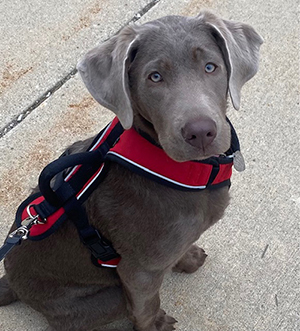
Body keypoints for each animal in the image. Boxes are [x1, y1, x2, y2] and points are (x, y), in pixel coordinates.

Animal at [0, 10, 262, 331]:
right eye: (155, 77)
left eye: (211, 67)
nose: (200, 132)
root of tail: (11, 282)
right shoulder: (138, 272)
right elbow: (146, 306)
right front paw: (156, 324)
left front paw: (188, 258)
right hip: (107, 298)